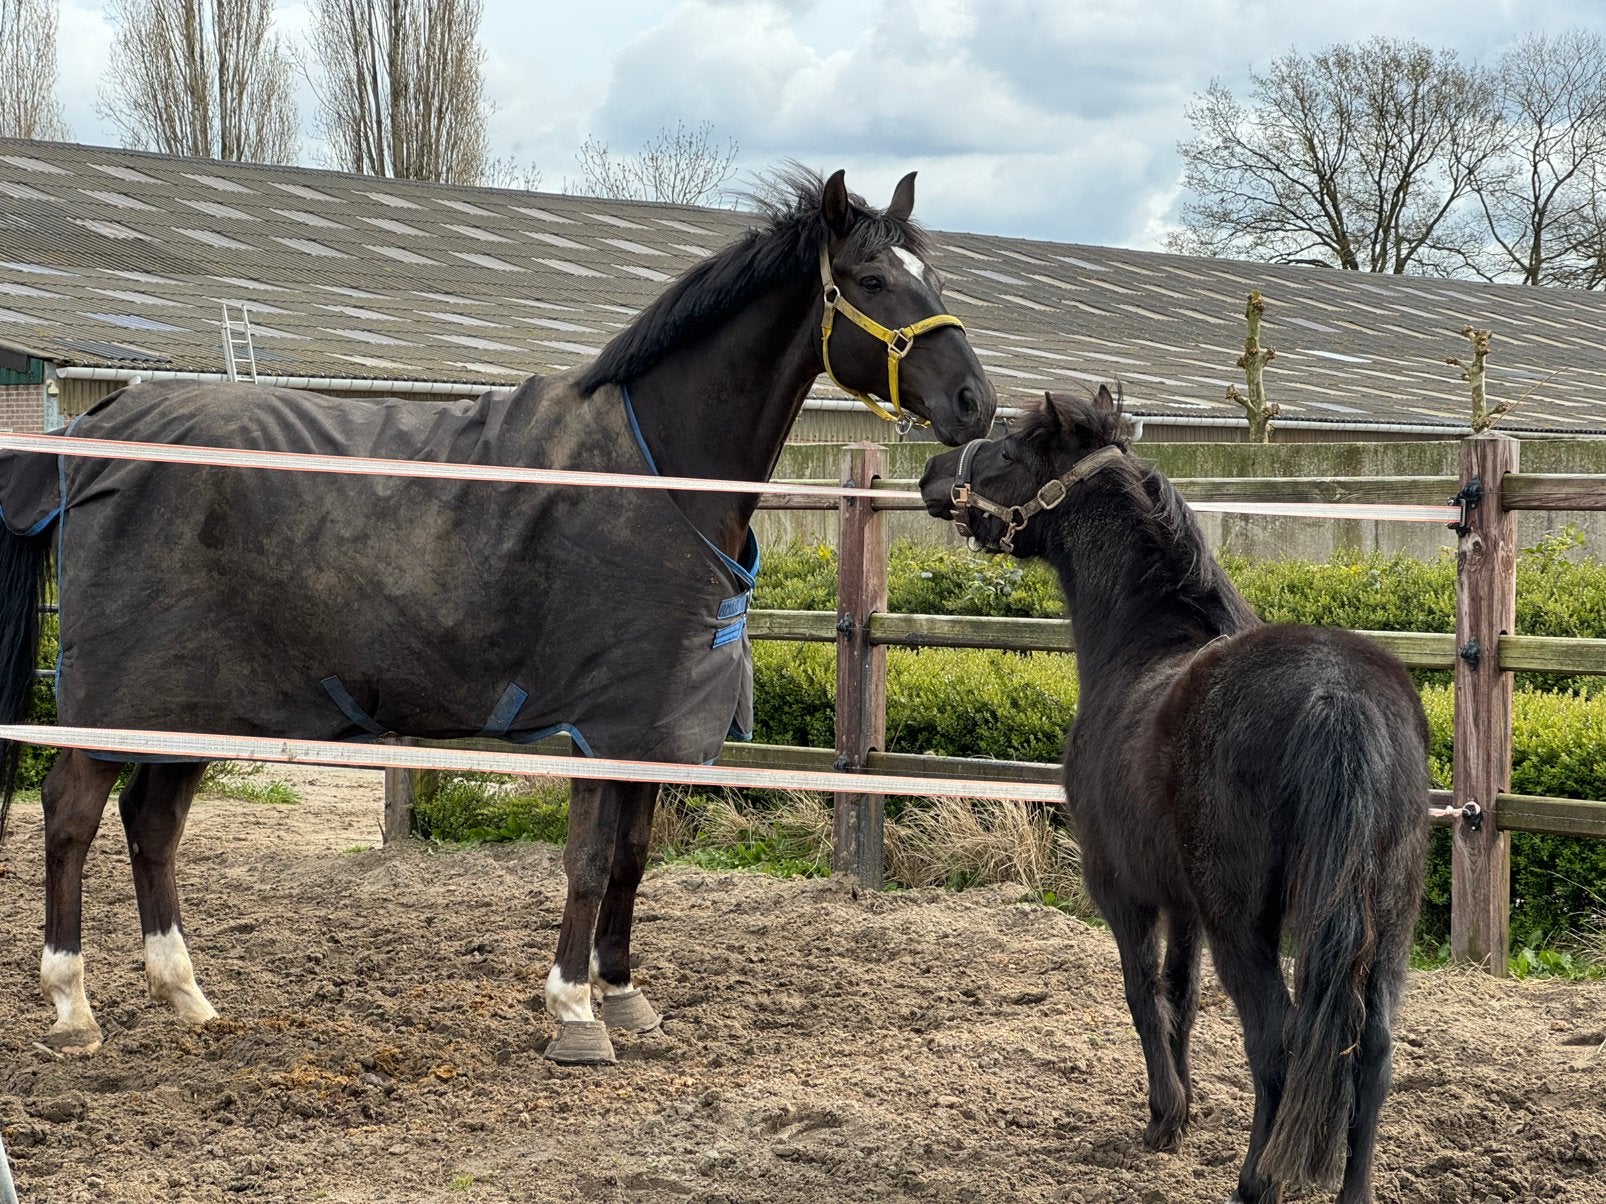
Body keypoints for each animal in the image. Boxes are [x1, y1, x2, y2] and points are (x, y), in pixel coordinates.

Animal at [0, 167, 997, 1066]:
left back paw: (188, 999)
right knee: (72, 812)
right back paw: (74, 1010)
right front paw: (576, 1015)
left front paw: (625, 998)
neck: (658, 468)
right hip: (120, 697)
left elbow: (634, 856)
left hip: (193, 701)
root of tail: (92, 431)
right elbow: (589, 861)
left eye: (935, 278)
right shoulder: (604, 717)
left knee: (152, 821)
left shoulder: (650, 716)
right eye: (872, 280)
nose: (975, 404)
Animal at [918, 387, 1429, 1204]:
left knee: (1279, 1040)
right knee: (1373, 1050)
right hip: (1388, 917)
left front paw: (1165, 1116)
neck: (1142, 649)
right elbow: (1180, 997)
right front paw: (1183, 1111)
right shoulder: (1182, 901)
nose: (933, 475)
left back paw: (1255, 1180)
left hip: (1244, 923)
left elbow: (1141, 992)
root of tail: (1340, 698)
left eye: (1008, 453)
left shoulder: (1120, 886)